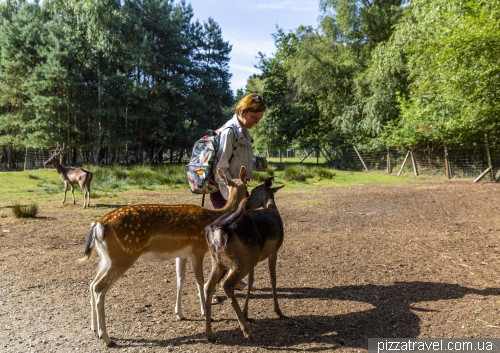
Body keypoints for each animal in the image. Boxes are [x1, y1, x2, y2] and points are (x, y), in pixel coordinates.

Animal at [204, 176, 286, 340]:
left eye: (253, 191)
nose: (246, 203)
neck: (273, 209)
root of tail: (216, 229)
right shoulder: (274, 250)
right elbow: (273, 279)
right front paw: (278, 311)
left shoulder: (255, 256)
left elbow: (251, 281)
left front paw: (246, 312)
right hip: (241, 261)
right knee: (226, 284)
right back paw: (246, 331)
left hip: (219, 260)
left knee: (209, 286)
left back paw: (210, 334)